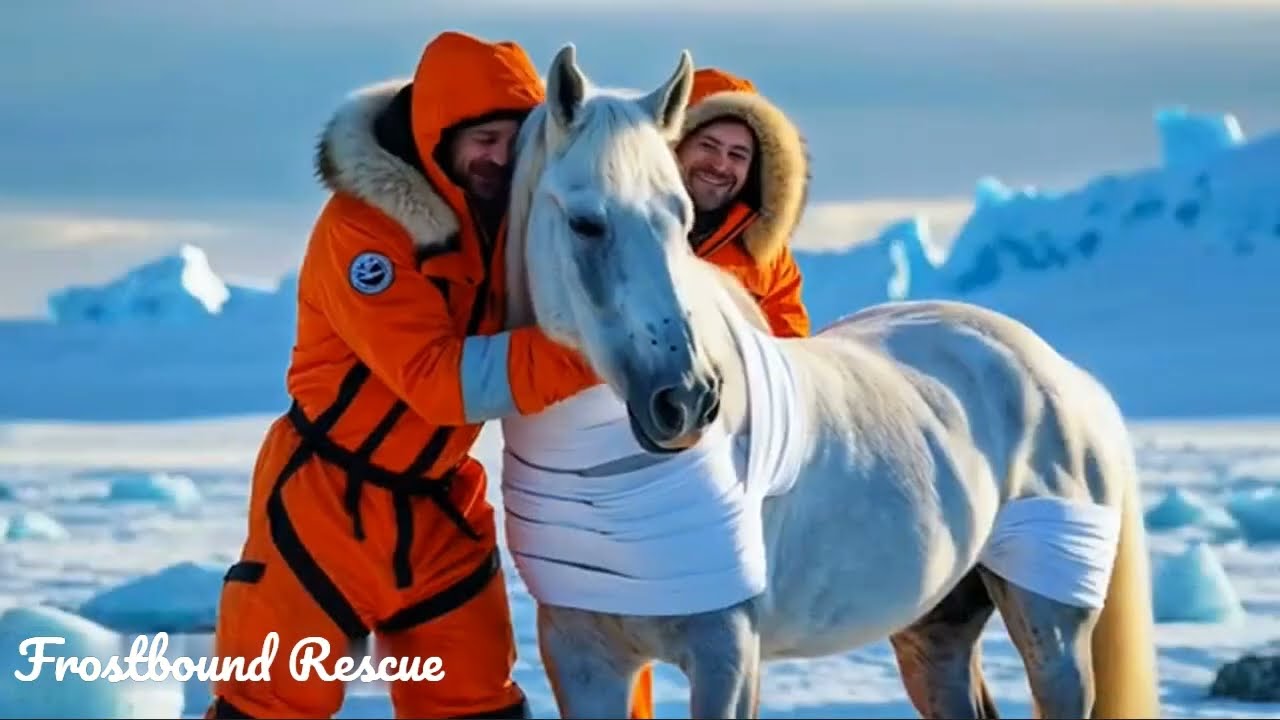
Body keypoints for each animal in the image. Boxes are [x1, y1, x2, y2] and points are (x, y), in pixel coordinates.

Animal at [499, 44, 1161, 719]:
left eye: (680, 220)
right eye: (585, 223)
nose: (688, 399)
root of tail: (1067, 376)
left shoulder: (727, 654)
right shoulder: (582, 658)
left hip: (1051, 631)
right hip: (936, 631)